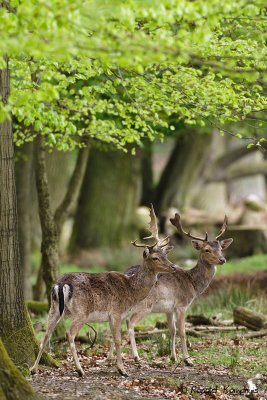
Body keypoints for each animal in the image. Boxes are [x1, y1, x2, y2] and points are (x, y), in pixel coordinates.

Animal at [30, 206, 177, 378]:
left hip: (53, 309)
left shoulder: (113, 317)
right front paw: (122, 370)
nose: (173, 267)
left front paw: (114, 364)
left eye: (165, 255)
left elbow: (112, 338)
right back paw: (80, 370)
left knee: (45, 335)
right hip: (81, 312)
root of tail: (61, 284)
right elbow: (118, 339)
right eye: (155, 258)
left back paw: (33, 369)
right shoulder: (116, 312)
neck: (131, 291)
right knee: (69, 333)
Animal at [124, 214, 233, 368]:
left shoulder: (169, 309)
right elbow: (182, 331)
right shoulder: (182, 304)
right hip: (145, 306)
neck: (192, 284)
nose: (222, 259)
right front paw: (188, 359)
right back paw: (136, 357)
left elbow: (172, 330)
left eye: (220, 248)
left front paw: (173, 357)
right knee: (130, 322)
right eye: (206, 249)